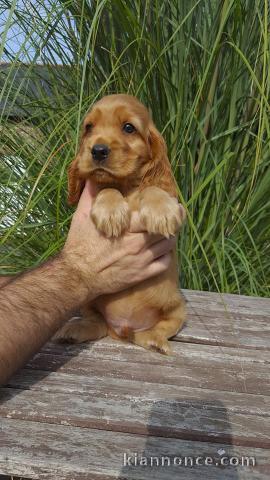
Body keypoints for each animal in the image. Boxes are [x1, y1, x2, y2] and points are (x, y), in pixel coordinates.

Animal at [54, 94, 186, 356]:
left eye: (128, 127)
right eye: (89, 127)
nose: (97, 150)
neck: (126, 186)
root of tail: (123, 330)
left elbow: (153, 187)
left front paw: (161, 210)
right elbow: (105, 186)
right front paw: (111, 210)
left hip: (177, 307)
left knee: (164, 325)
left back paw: (154, 339)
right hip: (89, 298)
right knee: (96, 322)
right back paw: (75, 329)